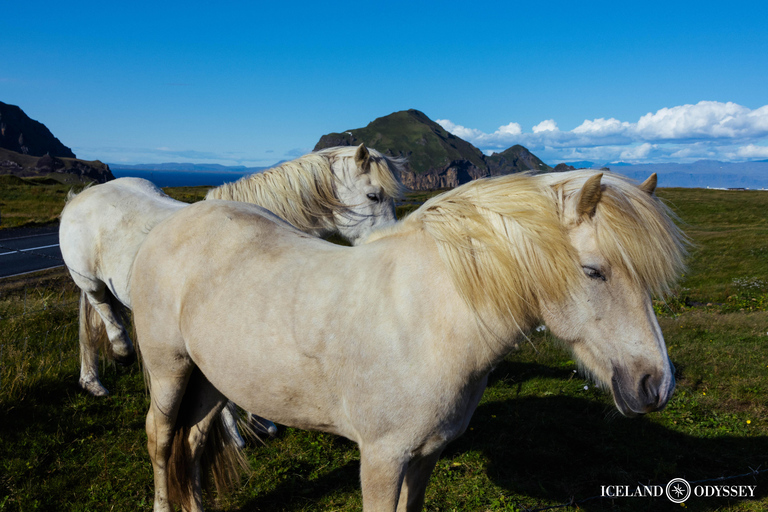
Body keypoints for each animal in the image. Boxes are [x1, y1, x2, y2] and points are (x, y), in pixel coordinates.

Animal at [129, 170, 688, 510]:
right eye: (594, 271)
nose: (656, 386)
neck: (428, 321)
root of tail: (174, 221)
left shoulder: (425, 455)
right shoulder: (382, 459)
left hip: (211, 376)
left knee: (193, 441)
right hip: (169, 367)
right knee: (162, 437)